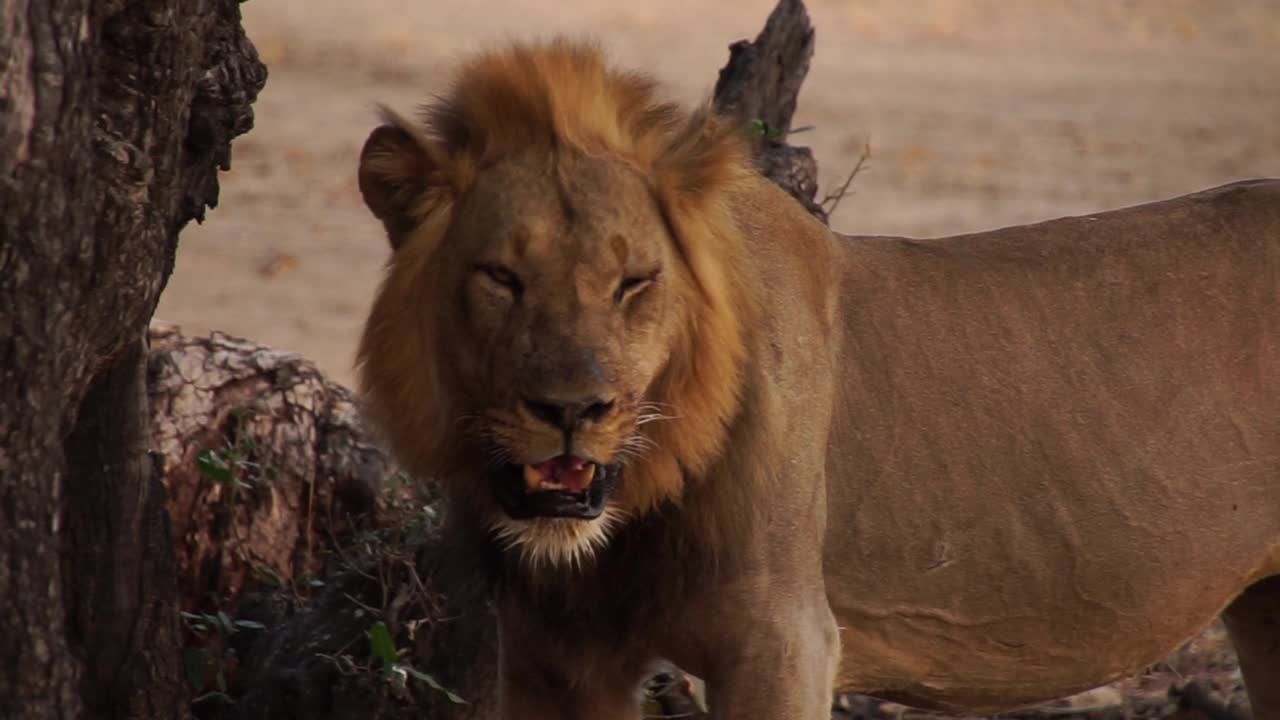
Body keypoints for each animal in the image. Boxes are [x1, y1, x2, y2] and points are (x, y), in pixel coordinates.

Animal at [355, 39, 1280, 717]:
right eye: (500, 278)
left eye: (634, 282)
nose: (574, 408)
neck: (635, 513)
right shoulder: (556, 659)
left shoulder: (782, 641)